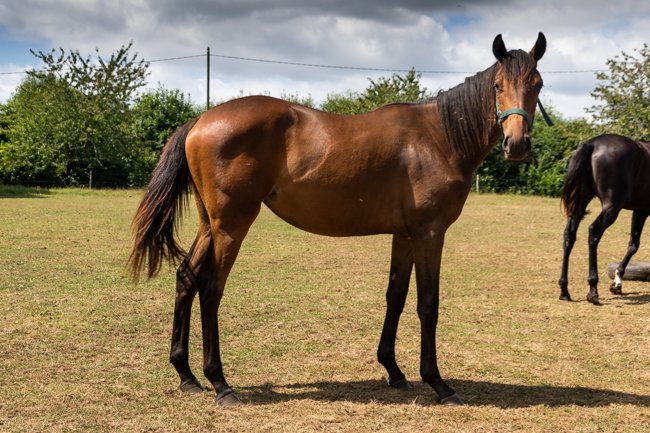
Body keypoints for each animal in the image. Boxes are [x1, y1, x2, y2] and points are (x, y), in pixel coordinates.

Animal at [129, 33, 547, 407]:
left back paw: (187, 375)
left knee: (186, 278)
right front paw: (439, 383)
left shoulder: (405, 236)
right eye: (497, 86)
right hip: (231, 226)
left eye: (538, 84)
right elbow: (428, 303)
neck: (437, 137)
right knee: (211, 288)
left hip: (209, 226)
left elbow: (395, 297)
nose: (517, 145)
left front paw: (393, 369)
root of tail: (200, 119)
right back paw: (220, 383)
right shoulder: (430, 233)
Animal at [559, 134, 650, 304]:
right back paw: (593, 290)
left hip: (580, 203)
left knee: (569, 235)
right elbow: (634, 245)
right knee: (594, 232)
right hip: (612, 207)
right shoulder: (642, 211)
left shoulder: (640, 210)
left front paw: (617, 283)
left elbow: (633, 245)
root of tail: (592, 143)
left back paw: (564, 290)